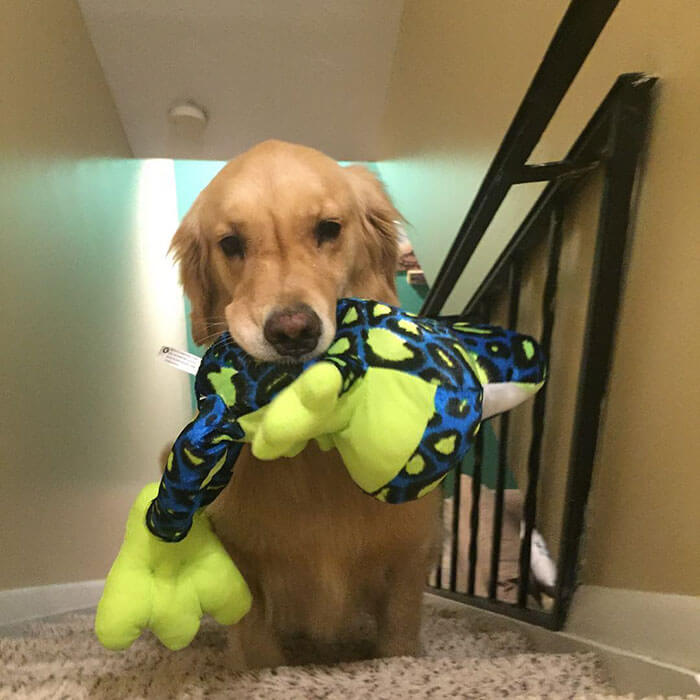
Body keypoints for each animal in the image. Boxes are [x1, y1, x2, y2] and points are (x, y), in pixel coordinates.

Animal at [170, 141, 440, 668]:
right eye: (230, 243)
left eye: (329, 229)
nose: (293, 332)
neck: (312, 441)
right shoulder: (241, 558)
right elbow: (256, 643)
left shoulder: (409, 550)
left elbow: (398, 638)